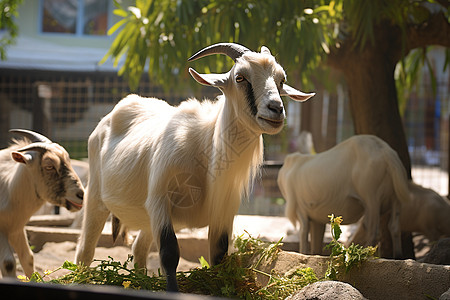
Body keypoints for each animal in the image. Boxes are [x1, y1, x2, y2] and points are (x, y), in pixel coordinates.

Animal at [0, 130, 84, 278]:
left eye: (69, 161)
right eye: (49, 166)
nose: (81, 195)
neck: (8, 188)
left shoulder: (16, 229)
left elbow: (28, 257)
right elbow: (8, 262)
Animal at [75, 42, 314, 290]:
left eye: (281, 80)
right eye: (240, 78)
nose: (276, 109)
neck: (207, 151)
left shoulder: (223, 212)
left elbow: (219, 255)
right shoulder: (160, 201)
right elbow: (170, 254)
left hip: (146, 220)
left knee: (139, 249)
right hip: (96, 197)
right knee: (85, 249)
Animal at [280, 134, 410, 258]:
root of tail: (386, 152)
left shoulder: (300, 210)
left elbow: (303, 236)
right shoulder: (316, 219)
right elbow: (315, 247)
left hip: (371, 196)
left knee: (373, 230)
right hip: (395, 198)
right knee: (394, 227)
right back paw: (398, 256)